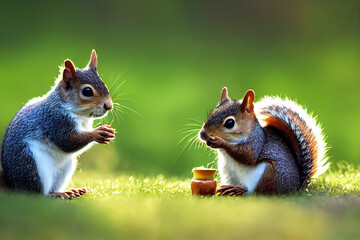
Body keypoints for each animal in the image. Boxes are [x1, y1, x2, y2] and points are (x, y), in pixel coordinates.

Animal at [0, 50, 115, 199]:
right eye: (87, 91)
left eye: (104, 85)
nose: (109, 106)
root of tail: (13, 185)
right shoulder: (55, 121)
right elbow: (67, 141)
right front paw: (98, 133)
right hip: (33, 164)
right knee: (38, 194)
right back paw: (58, 195)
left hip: (66, 166)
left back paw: (67, 192)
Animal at [200, 87, 330, 196]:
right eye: (211, 113)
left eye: (230, 123)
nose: (203, 134)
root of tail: (296, 187)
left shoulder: (256, 142)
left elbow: (247, 156)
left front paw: (220, 142)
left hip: (267, 174)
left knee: (257, 192)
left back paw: (239, 190)